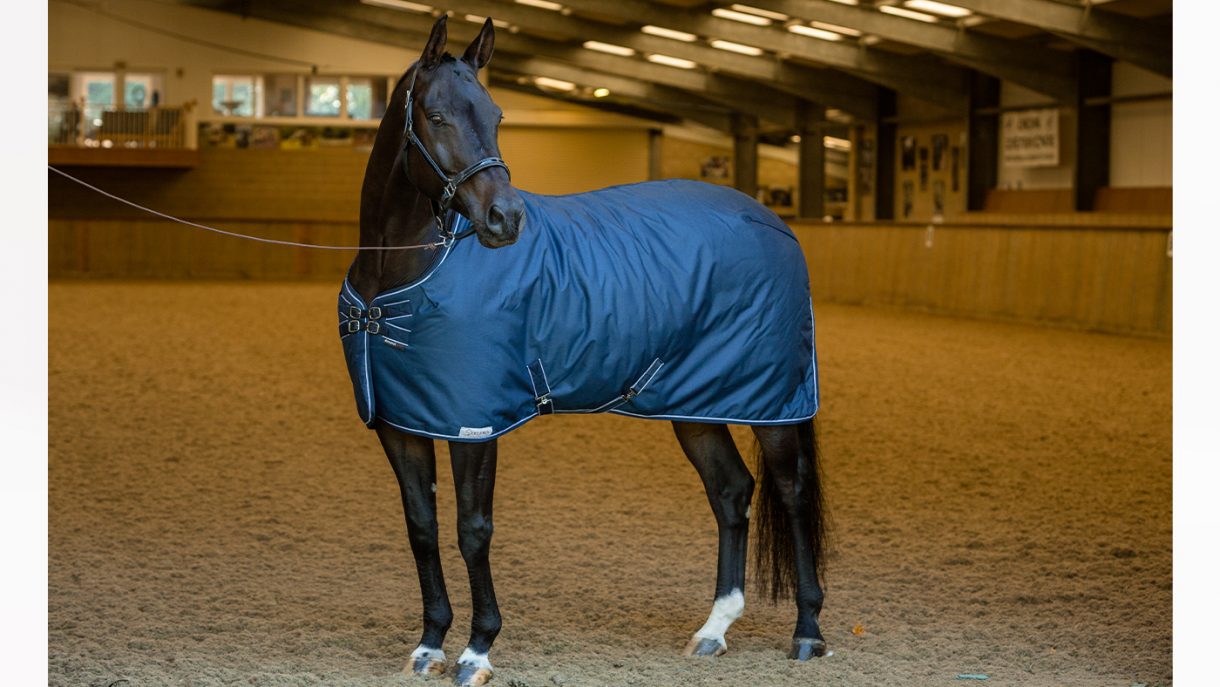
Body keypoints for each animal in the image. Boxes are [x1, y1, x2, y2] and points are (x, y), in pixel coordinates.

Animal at [341, 16, 827, 687]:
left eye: (495, 114)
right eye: (436, 116)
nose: (505, 219)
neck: (399, 279)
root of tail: (774, 223)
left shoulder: (474, 425)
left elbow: (472, 529)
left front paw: (477, 650)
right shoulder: (400, 424)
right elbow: (421, 528)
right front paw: (430, 644)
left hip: (773, 405)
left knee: (792, 493)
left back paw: (808, 632)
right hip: (695, 405)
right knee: (731, 491)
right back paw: (714, 629)